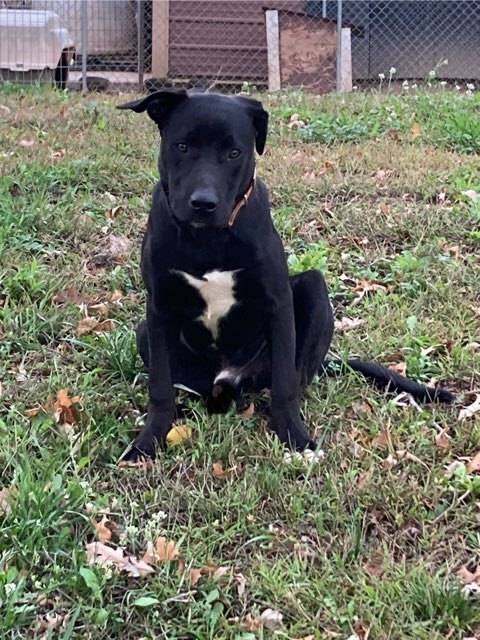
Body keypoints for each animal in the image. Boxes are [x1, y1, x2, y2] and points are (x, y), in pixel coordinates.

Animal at [116, 89, 454, 460]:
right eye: (182, 146)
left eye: (234, 152)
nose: (203, 204)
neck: (207, 239)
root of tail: (227, 379)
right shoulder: (159, 309)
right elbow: (160, 388)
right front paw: (148, 441)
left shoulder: (277, 303)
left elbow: (285, 383)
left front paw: (294, 435)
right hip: (145, 332)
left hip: (313, 290)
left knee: (294, 375)